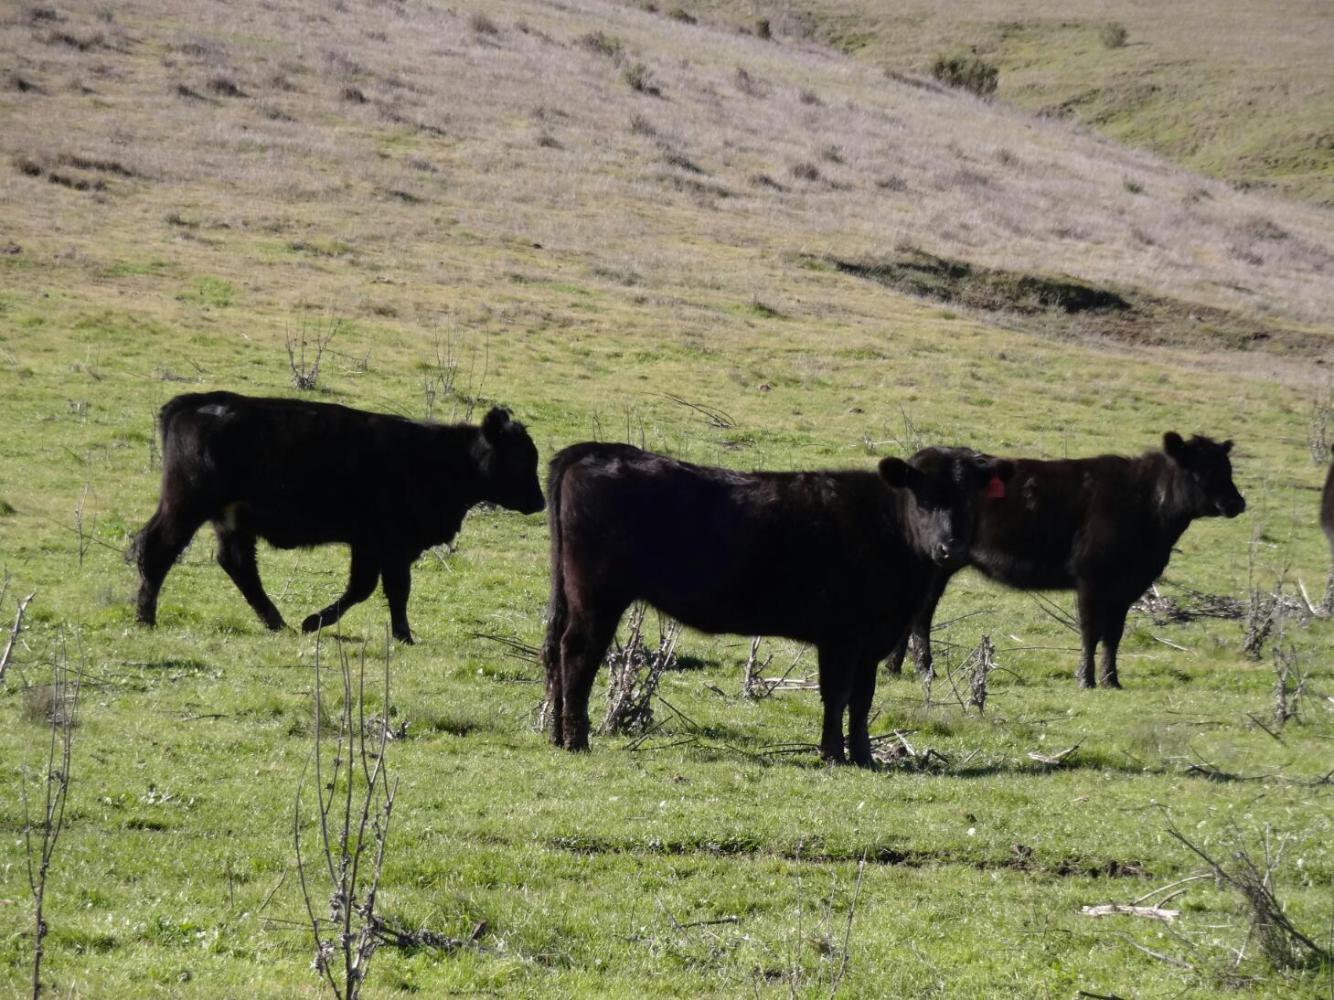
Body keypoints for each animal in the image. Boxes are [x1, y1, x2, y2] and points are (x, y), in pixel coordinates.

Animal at [133, 392, 545, 642]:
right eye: (519, 457)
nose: (540, 501)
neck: (437, 457)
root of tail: (194, 402)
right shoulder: (389, 543)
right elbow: (392, 590)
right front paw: (403, 636)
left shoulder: (371, 544)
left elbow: (365, 588)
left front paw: (313, 621)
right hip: (187, 505)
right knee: (158, 548)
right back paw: (145, 619)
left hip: (230, 519)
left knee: (237, 564)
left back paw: (277, 622)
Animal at [540, 443, 1015, 767]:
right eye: (923, 497)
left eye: (969, 498)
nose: (950, 547)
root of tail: (597, 450)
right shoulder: (842, 635)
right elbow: (838, 694)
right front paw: (832, 754)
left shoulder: (871, 639)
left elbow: (862, 697)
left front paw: (862, 755)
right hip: (598, 595)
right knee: (577, 653)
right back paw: (577, 741)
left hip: (568, 592)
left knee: (553, 652)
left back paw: (557, 736)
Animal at [885, 433, 1245, 689]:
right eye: (1200, 471)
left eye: (1226, 468)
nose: (1237, 503)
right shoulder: (1092, 577)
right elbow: (1090, 630)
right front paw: (1086, 679)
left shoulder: (1128, 586)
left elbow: (1114, 634)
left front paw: (1112, 680)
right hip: (938, 562)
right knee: (922, 615)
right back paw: (924, 670)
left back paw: (894, 668)